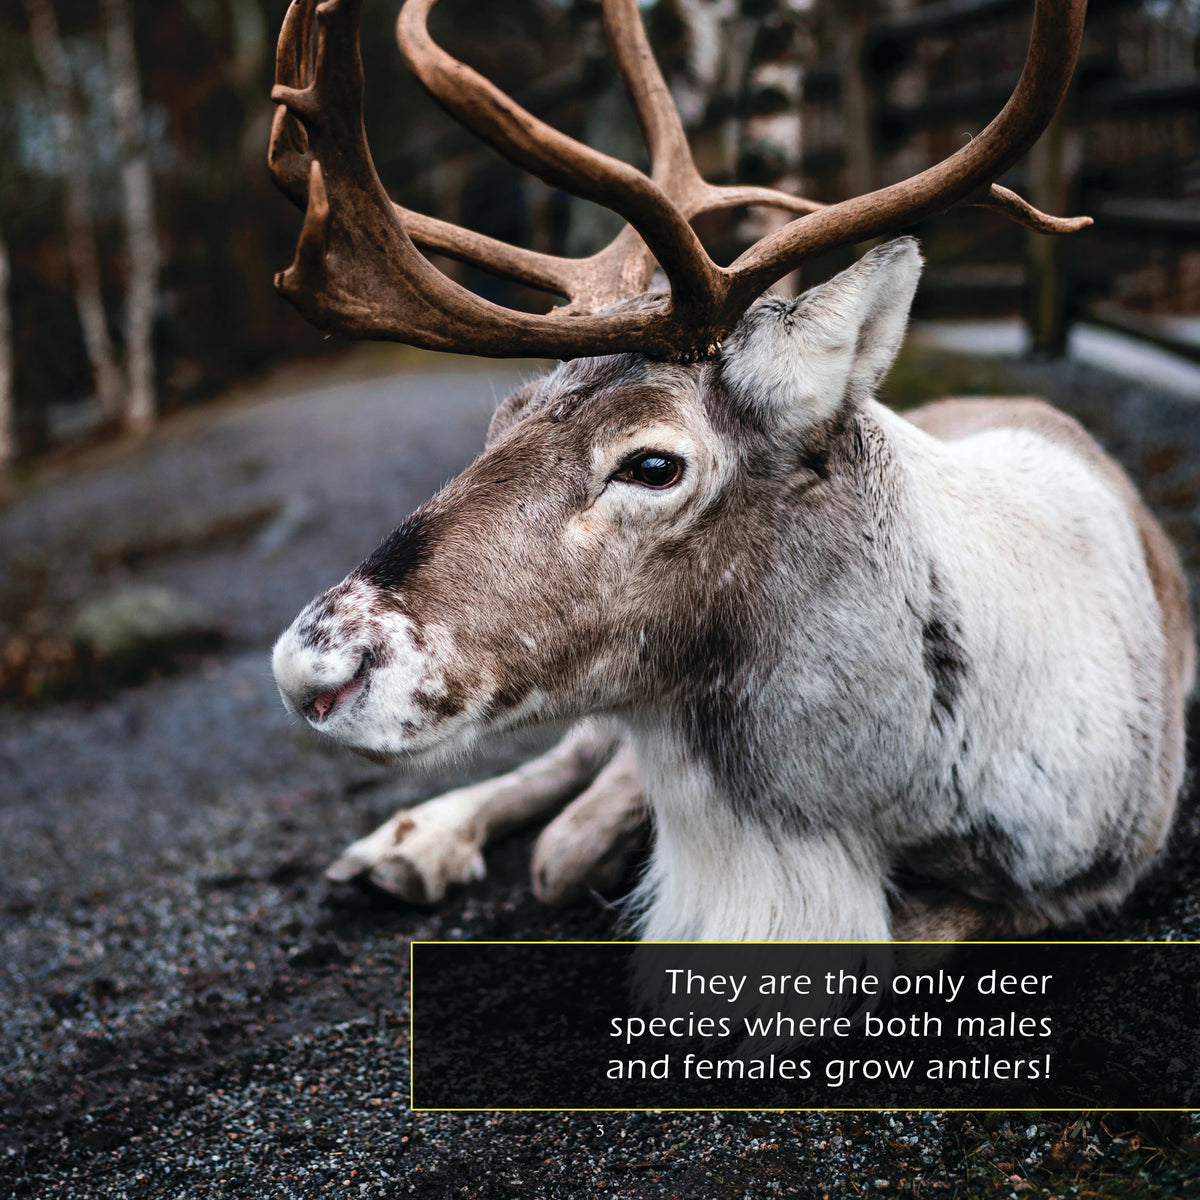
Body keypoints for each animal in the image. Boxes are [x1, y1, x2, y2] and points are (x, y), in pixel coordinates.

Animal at [267, 0, 1194, 942]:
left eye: (652, 463)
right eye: (503, 416)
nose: (312, 668)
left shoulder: (1089, 875)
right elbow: (566, 848)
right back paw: (412, 843)